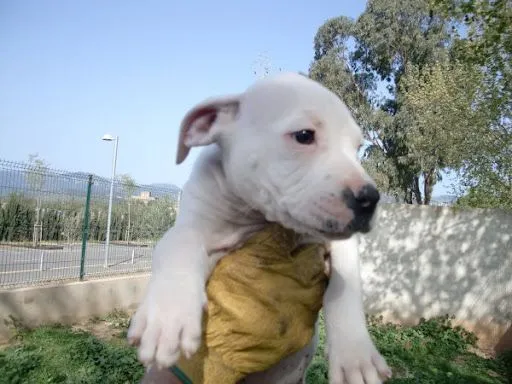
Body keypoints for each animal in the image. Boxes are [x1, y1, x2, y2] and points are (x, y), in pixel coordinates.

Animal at [128, 73, 392, 384]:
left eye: (357, 148)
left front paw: (355, 356)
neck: (261, 218)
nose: (370, 199)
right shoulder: (200, 227)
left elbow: (347, 284)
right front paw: (169, 316)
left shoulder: (339, 242)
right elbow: (179, 242)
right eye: (304, 135)